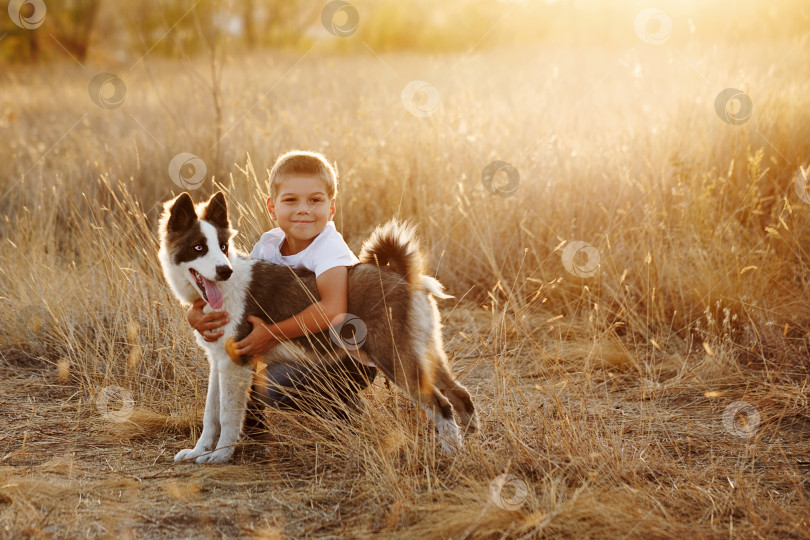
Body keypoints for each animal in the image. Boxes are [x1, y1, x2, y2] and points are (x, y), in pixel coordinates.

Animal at [158, 192, 476, 462]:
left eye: (223, 247)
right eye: (199, 247)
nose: (225, 270)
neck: (225, 289)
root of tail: (401, 276)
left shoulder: (236, 365)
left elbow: (226, 415)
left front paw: (222, 455)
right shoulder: (218, 363)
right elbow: (210, 415)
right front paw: (199, 452)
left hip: (396, 361)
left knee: (441, 405)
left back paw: (452, 454)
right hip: (423, 353)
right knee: (459, 394)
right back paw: (472, 440)